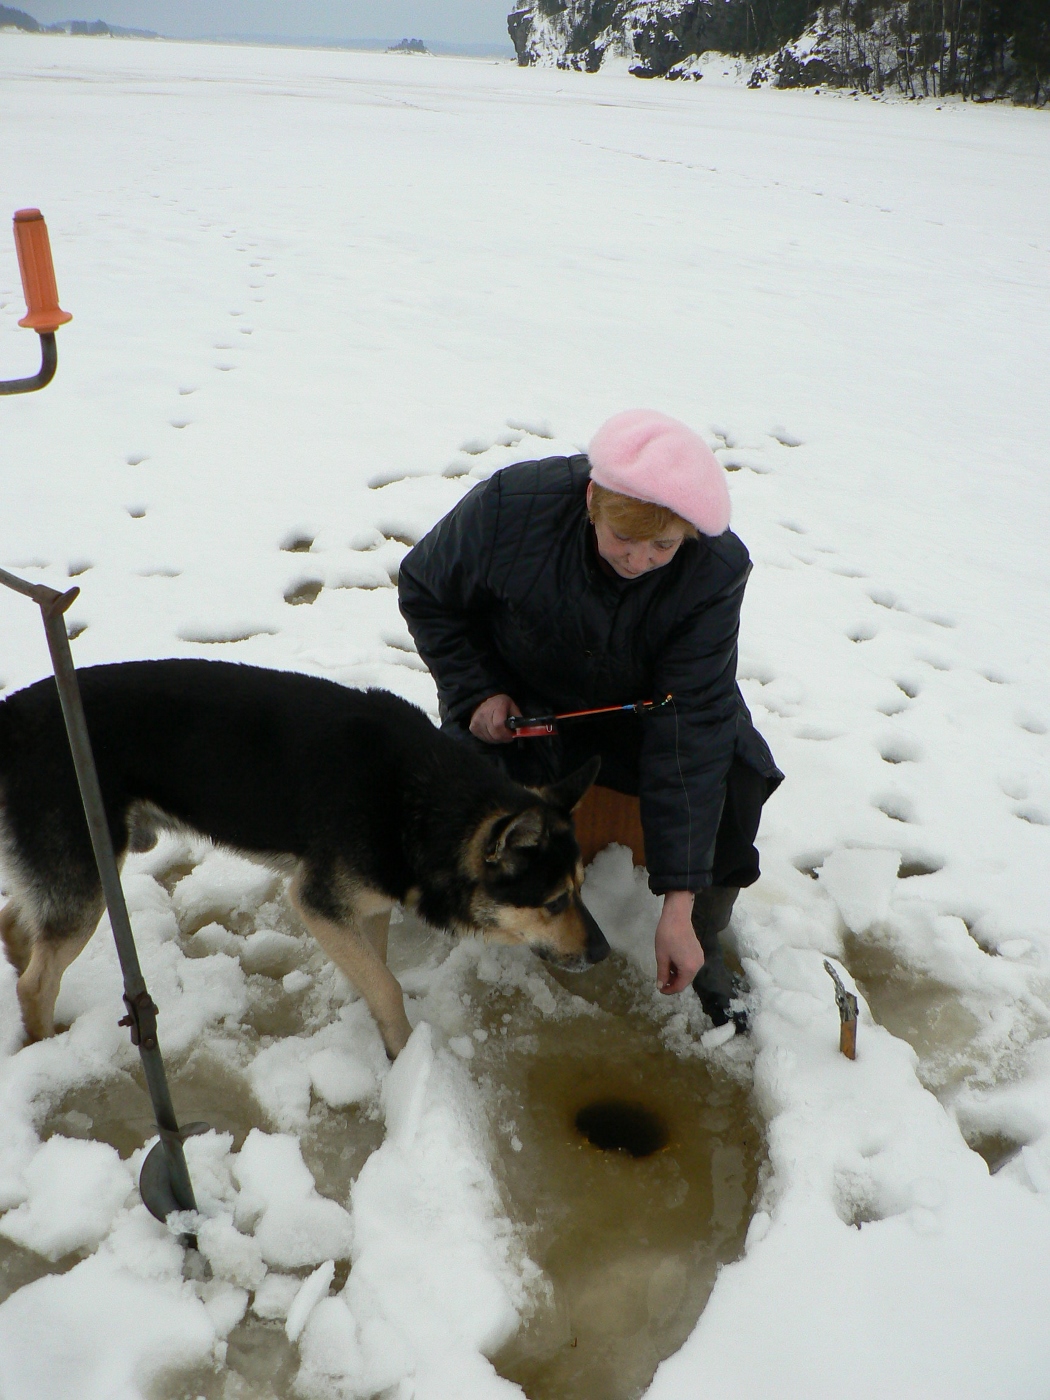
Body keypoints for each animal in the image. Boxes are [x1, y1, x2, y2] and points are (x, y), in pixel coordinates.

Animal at [0, 660, 607, 1052]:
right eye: (554, 902)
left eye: (581, 888)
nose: (602, 953)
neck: (421, 800)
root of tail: (12, 714)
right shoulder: (317, 901)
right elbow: (386, 984)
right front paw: (405, 1055)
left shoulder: (367, 903)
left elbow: (376, 969)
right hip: (89, 880)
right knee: (36, 983)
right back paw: (46, 1046)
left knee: (18, 925)